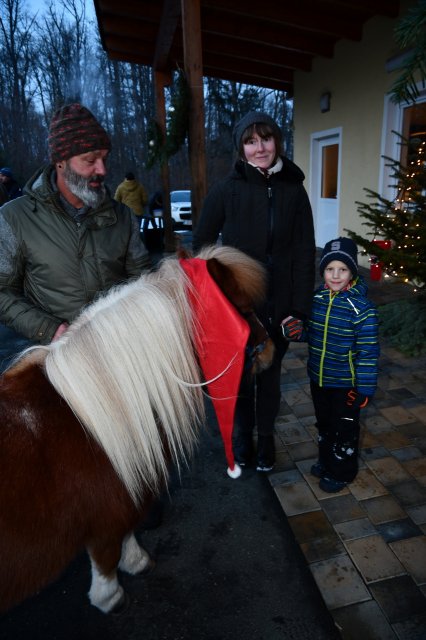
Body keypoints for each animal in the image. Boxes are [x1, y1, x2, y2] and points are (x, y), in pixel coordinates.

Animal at [0, 246, 272, 616]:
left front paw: (136, 561)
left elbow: (129, 533)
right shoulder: (108, 517)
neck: (88, 420)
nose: (272, 350)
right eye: (242, 310)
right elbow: (107, 556)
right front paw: (110, 596)